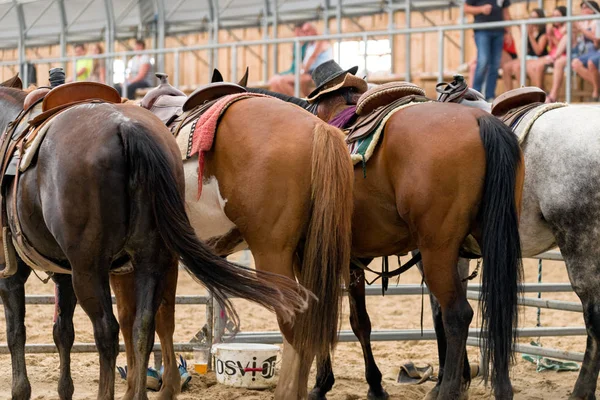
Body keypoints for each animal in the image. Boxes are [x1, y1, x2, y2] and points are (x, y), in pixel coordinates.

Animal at [0, 81, 310, 400]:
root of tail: (126, 127)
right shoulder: (65, 271)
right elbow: (64, 332)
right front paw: (66, 390)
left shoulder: (14, 272)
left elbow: (16, 332)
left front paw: (21, 390)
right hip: (149, 259)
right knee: (143, 327)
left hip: (91, 268)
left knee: (108, 331)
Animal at [245, 75, 524, 400]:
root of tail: (481, 120)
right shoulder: (351, 261)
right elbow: (359, 322)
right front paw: (372, 385)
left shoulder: (310, 257)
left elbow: (324, 316)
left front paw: (322, 384)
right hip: (493, 242)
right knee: (498, 311)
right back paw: (500, 389)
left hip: (438, 250)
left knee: (457, 315)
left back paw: (447, 390)